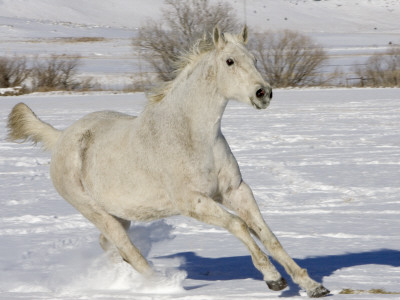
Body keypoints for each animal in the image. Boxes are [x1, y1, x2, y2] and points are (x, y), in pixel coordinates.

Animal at [7, 27, 330, 298]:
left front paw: (312, 285)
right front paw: (274, 279)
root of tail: (61, 137)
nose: (263, 94)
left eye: (254, 59)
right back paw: (162, 286)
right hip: (96, 211)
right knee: (128, 249)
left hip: (119, 213)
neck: (193, 136)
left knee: (111, 245)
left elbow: (268, 235)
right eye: (229, 61)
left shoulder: (236, 191)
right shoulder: (192, 202)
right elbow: (240, 226)